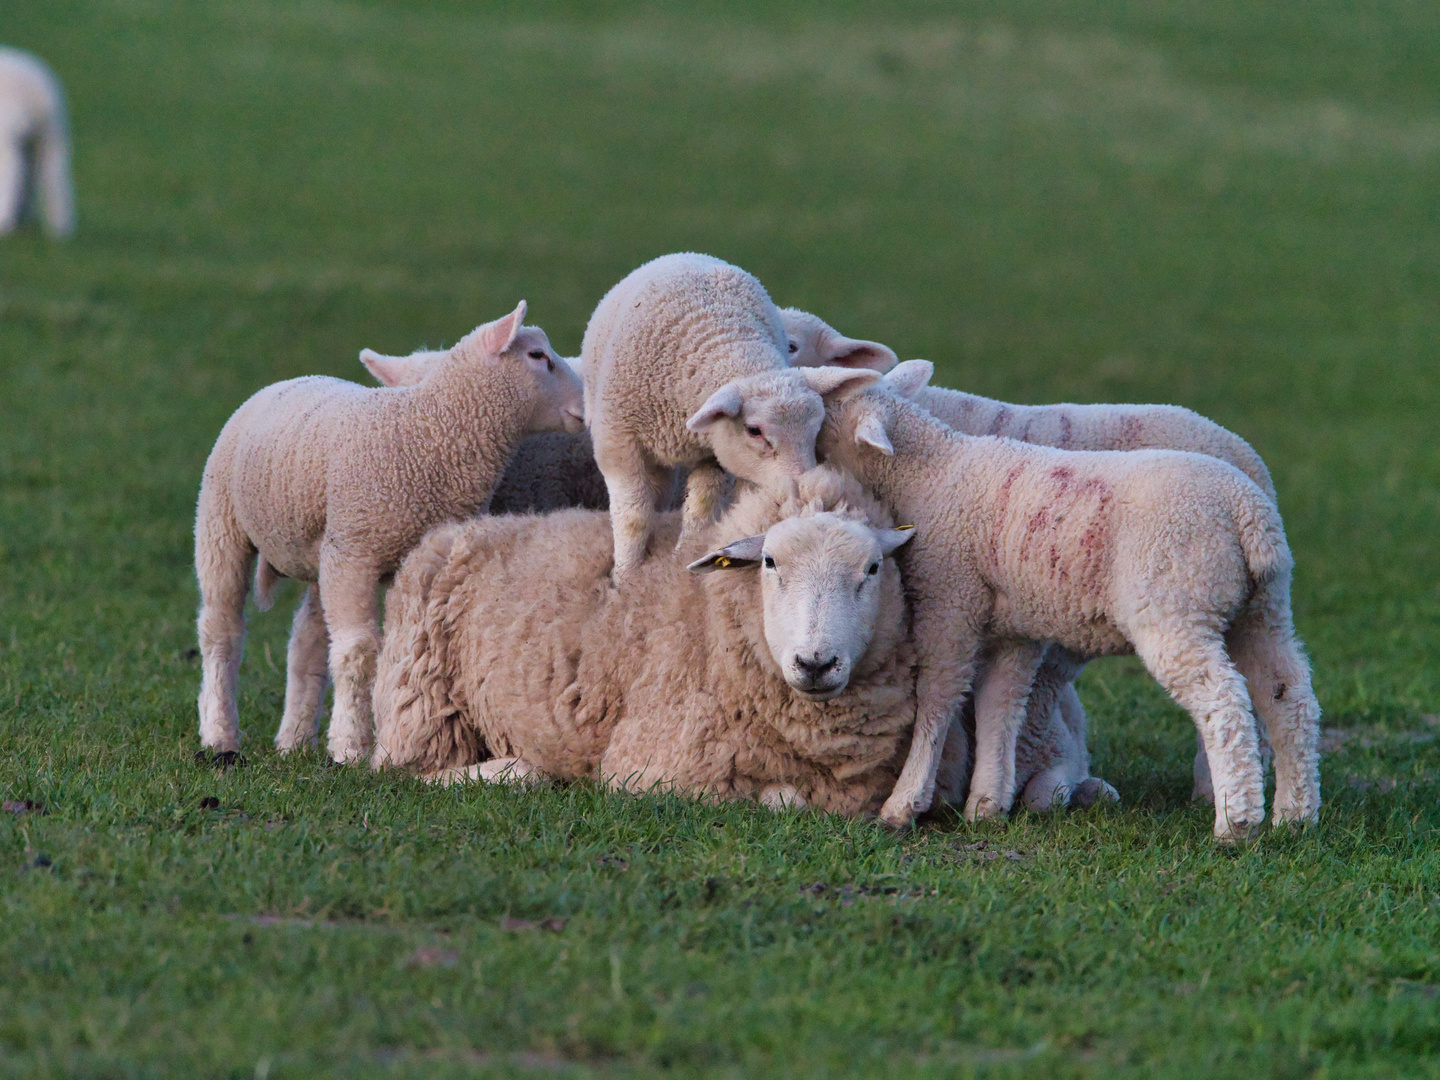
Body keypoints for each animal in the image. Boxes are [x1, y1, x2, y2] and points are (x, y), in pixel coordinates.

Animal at [194, 300, 581, 766]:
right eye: (538, 356)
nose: (586, 404)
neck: (428, 430)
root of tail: (285, 382)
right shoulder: (355, 553)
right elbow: (359, 651)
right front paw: (350, 747)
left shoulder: (408, 555)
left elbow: (400, 643)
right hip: (222, 522)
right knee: (221, 629)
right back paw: (219, 733)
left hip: (324, 550)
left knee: (308, 640)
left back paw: (295, 738)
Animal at [365, 469, 915, 817]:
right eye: (770, 562)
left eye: (873, 569)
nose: (815, 662)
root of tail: (466, 527)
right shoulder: (655, 771)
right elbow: (782, 801)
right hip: (420, 704)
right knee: (401, 773)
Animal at [581, 253, 875, 584]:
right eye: (754, 431)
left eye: (816, 430)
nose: (808, 491)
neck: (726, 342)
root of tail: (690, 254)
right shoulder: (618, 441)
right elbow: (633, 516)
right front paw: (626, 576)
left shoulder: (714, 453)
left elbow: (701, 509)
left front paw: (684, 556)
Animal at [789, 308, 1284, 806]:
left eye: (793, 346)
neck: (934, 466)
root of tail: (1250, 499)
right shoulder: (1009, 616)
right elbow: (1001, 701)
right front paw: (987, 797)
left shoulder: (951, 599)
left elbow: (940, 694)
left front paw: (910, 800)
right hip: (1262, 607)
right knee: (1283, 693)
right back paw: (1282, 805)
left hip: (1178, 604)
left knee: (1223, 700)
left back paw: (1227, 804)